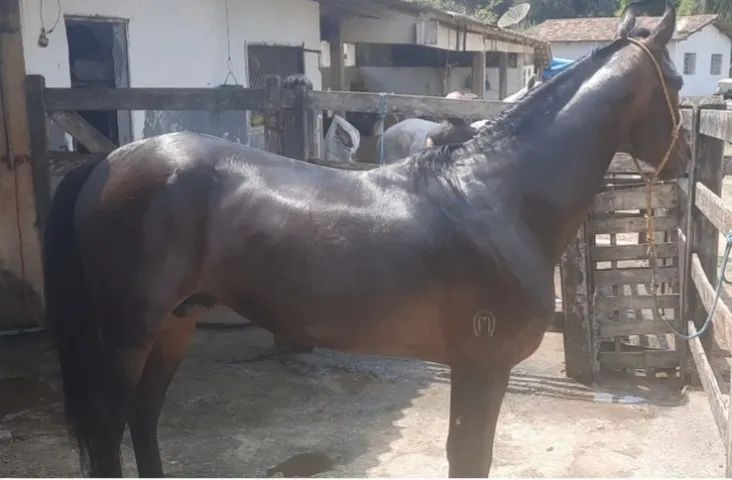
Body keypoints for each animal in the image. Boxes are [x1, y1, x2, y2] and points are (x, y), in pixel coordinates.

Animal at [43, 1, 688, 477]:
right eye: (678, 80)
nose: (684, 160)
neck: (498, 195)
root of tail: (107, 163)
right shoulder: (481, 366)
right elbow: (470, 457)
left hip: (175, 322)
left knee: (144, 417)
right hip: (128, 332)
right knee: (109, 428)